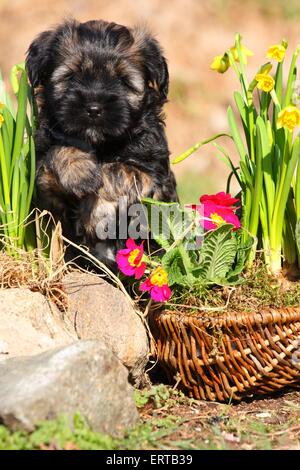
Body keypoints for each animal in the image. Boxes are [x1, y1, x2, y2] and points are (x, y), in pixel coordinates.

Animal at [25, 18, 177, 266]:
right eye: (71, 76)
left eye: (123, 81)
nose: (94, 108)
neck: (101, 145)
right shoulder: (44, 189)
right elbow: (56, 153)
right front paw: (80, 173)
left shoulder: (154, 177)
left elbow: (117, 170)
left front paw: (95, 212)